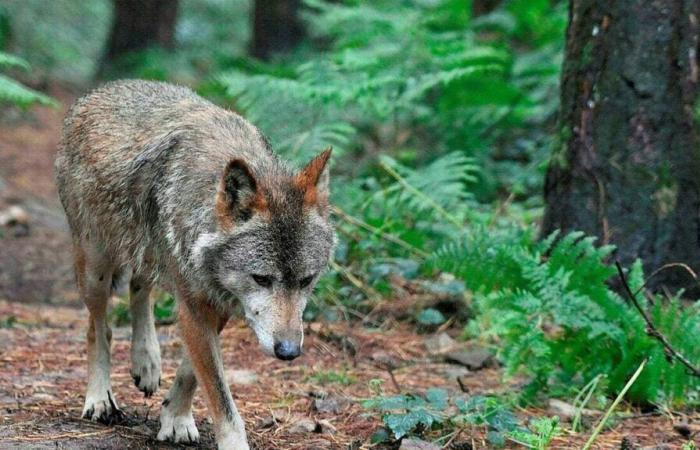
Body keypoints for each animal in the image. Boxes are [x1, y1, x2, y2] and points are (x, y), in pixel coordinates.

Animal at [54, 79, 336, 448]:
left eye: (306, 281)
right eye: (261, 279)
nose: (288, 351)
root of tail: (102, 89)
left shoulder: (219, 302)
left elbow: (191, 372)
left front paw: (174, 418)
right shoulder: (196, 305)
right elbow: (221, 397)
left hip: (148, 252)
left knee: (140, 288)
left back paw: (147, 361)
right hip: (96, 268)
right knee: (98, 327)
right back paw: (100, 399)